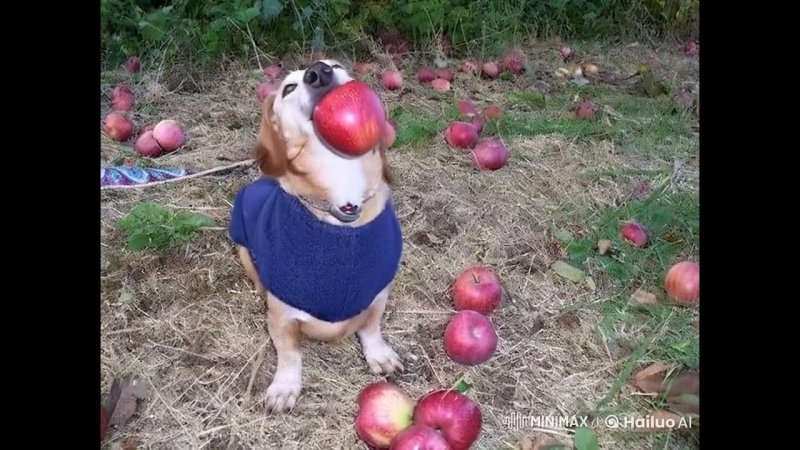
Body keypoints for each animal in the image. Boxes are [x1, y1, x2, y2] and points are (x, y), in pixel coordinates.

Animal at [229, 59, 404, 414]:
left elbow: (371, 327)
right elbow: (289, 354)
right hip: (241, 244)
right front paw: (285, 386)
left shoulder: (379, 292)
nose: (319, 71)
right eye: (288, 88)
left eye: (338, 65)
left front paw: (378, 354)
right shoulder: (282, 317)